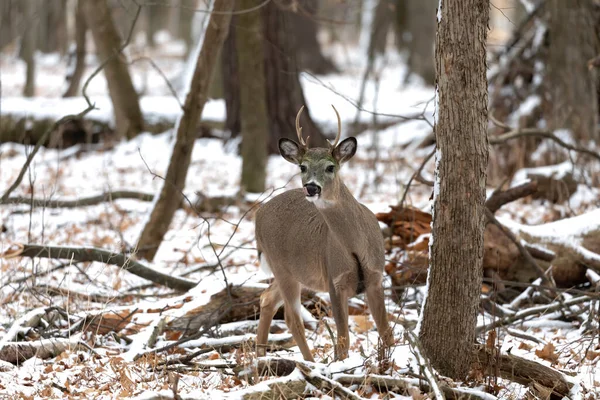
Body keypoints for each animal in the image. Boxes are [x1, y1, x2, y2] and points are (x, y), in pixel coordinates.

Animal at [253, 104, 394, 360]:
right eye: (303, 167)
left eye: (330, 167)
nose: (311, 187)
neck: (355, 247)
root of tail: (258, 214)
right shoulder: (334, 280)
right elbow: (343, 339)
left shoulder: (376, 276)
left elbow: (386, 331)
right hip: (281, 267)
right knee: (291, 318)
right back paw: (309, 363)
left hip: (292, 272)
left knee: (267, 298)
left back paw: (260, 358)